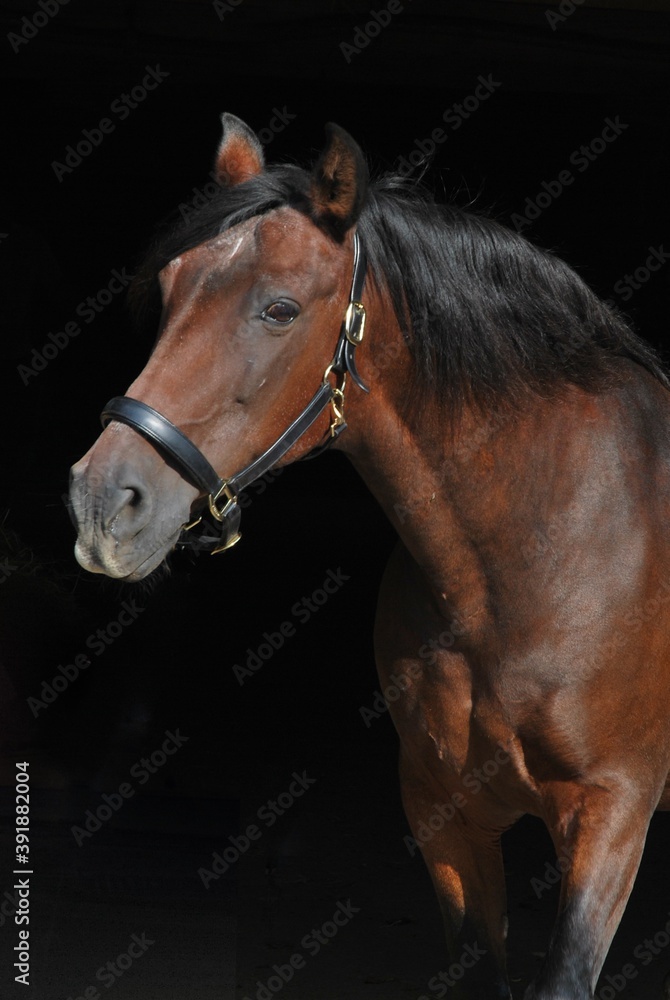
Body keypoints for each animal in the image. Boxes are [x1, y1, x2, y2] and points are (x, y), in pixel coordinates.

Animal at [69, 113, 670, 999]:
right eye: (173, 285)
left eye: (280, 309)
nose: (102, 502)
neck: (544, 552)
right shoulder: (443, 811)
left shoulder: (612, 813)